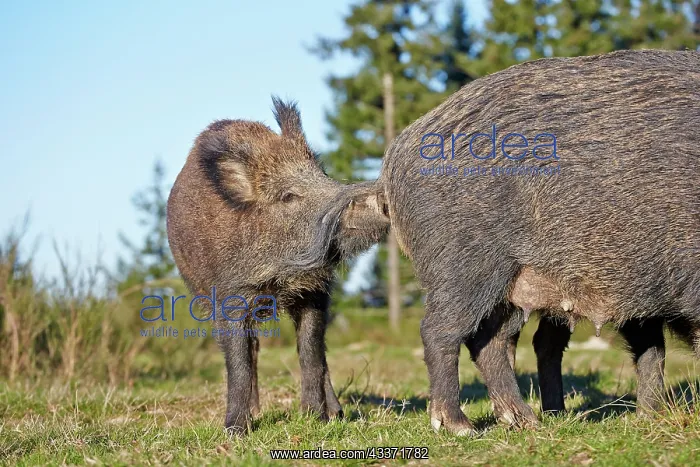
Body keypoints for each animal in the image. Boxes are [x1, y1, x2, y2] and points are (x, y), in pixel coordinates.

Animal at [166, 97, 390, 435]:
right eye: (288, 196)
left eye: (323, 175)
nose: (379, 196)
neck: (281, 276)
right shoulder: (230, 296)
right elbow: (239, 362)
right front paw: (236, 431)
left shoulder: (315, 292)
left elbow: (311, 353)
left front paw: (316, 417)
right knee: (253, 348)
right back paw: (256, 413)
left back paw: (336, 413)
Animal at [297, 49, 700, 435]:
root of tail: (392, 163)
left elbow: (651, 349)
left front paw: (651, 417)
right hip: (467, 265)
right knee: (440, 332)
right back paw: (460, 427)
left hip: (512, 283)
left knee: (488, 342)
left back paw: (525, 421)